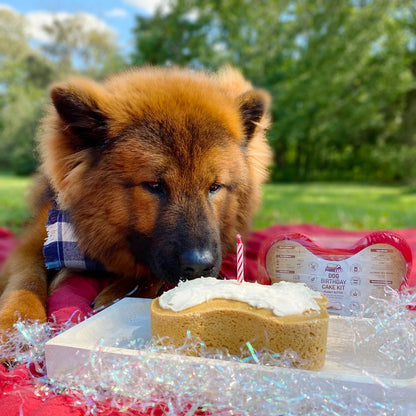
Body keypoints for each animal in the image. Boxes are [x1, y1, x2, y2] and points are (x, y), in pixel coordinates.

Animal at [0, 65, 272, 334]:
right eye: (154, 185)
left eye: (214, 187)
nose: (199, 266)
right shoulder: (33, 243)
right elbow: (26, 280)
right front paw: (15, 324)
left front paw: (121, 291)